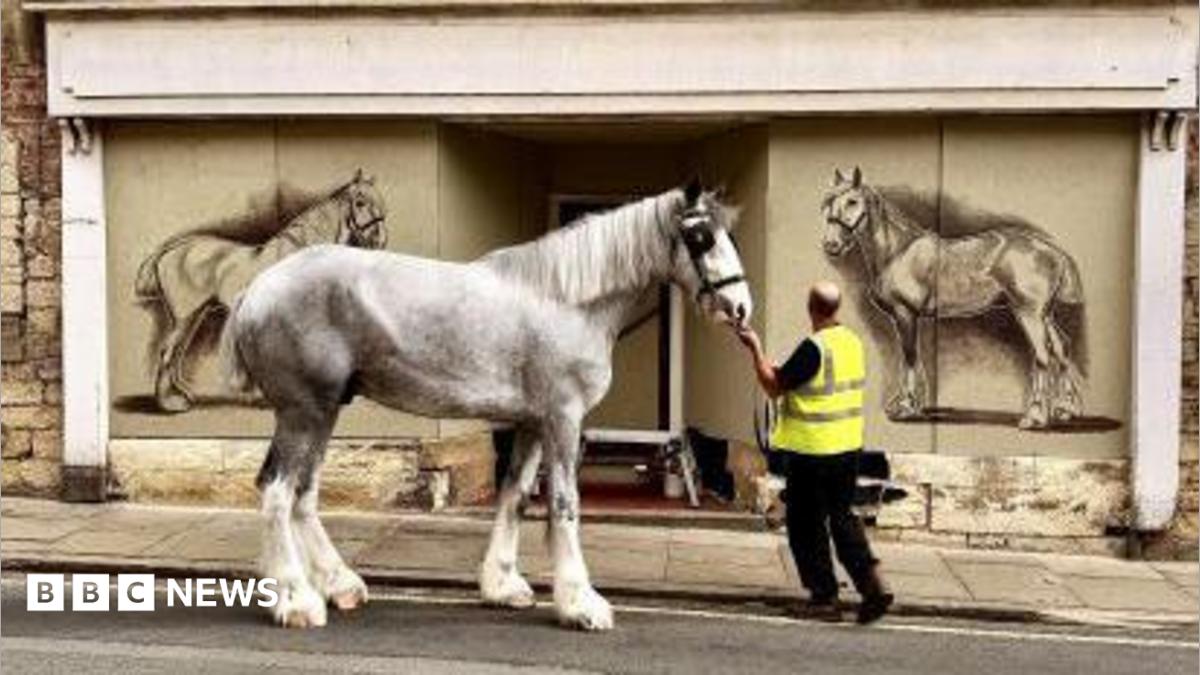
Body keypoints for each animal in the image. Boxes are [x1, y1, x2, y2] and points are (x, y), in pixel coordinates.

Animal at [135, 171, 387, 413]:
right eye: (360, 202)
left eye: (380, 201)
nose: (380, 240)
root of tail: (169, 251)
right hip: (185, 316)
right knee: (168, 352)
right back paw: (170, 403)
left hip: (194, 315)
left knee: (176, 354)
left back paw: (182, 395)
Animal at [219, 181, 751, 631]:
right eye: (701, 237)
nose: (742, 309)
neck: (566, 300)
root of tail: (257, 289)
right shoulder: (563, 418)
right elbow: (564, 504)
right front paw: (581, 604)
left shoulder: (531, 423)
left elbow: (515, 496)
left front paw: (502, 586)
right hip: (304, 411)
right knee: (278, 490)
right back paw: (297, 601)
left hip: (325, 410)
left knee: (303, 493)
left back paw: (338, 585)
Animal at [821, 167, 1084, 430]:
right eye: (828, 202)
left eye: (852, 201)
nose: (831, 244)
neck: (897, 252)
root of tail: (1054, 252)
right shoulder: (906, 317)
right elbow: (913, 357)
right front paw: (911, 403)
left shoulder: (906, 313)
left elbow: (909, 356)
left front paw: (906, 407)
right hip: (1045, 315)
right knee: (1061, 348)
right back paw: (1066, 410)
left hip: (1029, 314)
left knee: (1042, 355)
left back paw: (1035, 416)